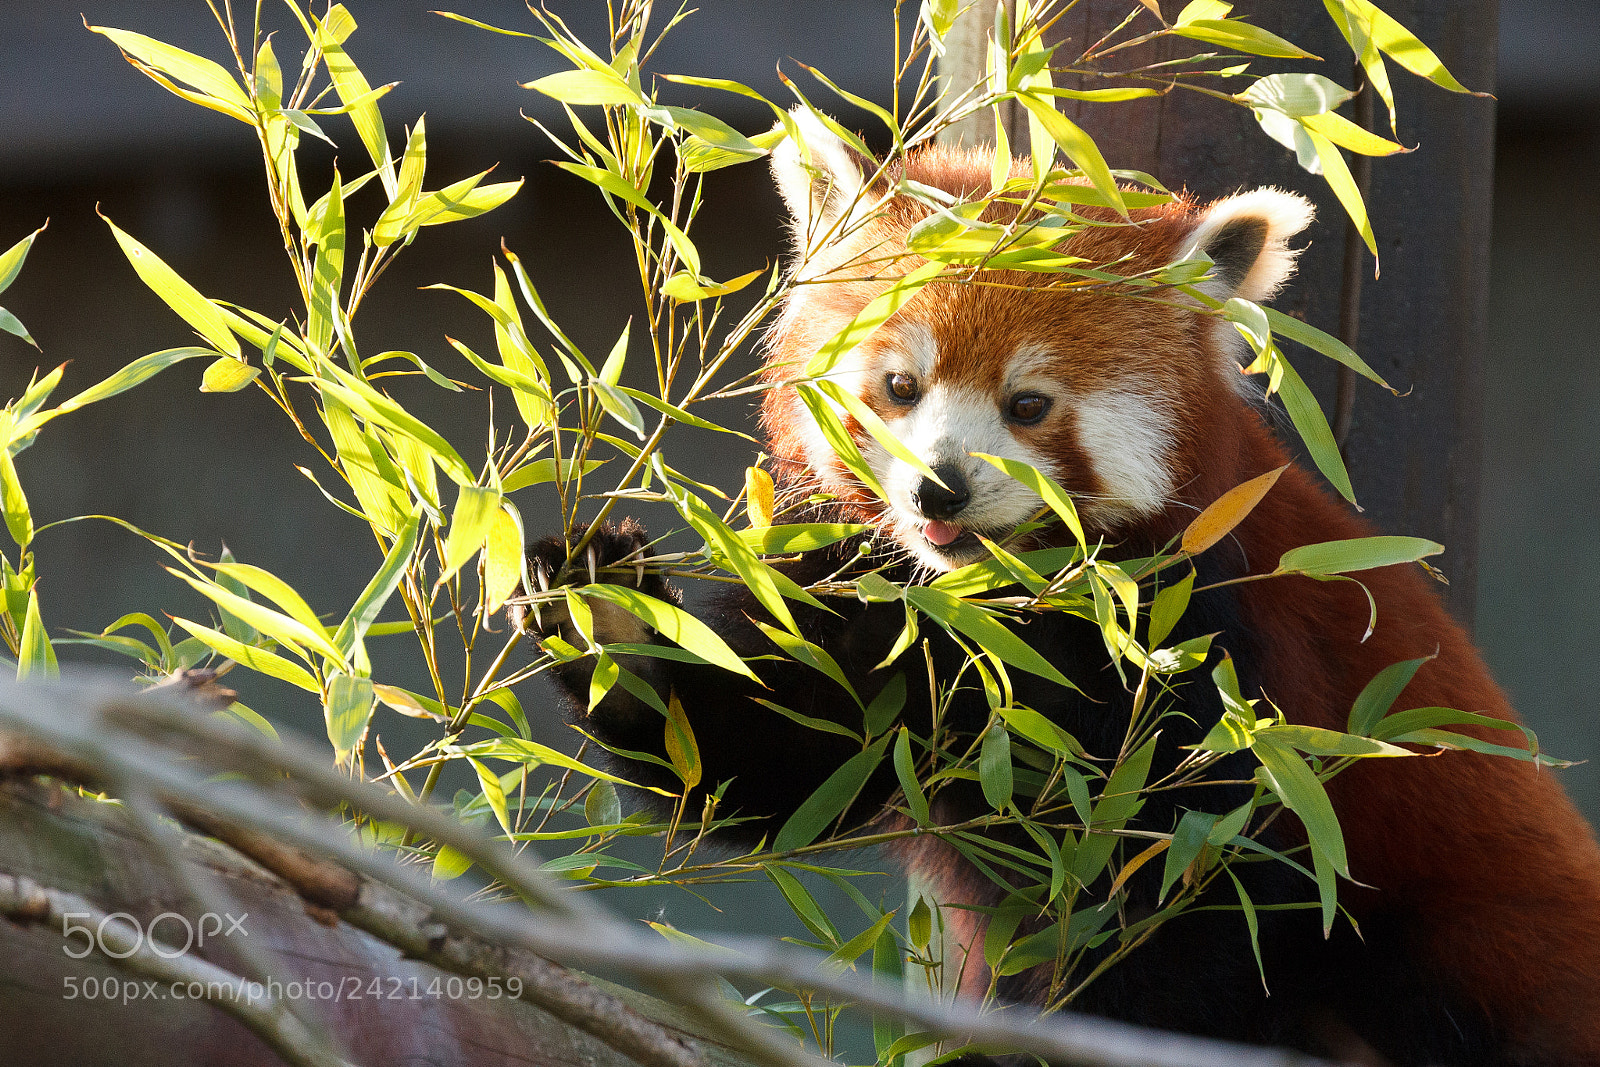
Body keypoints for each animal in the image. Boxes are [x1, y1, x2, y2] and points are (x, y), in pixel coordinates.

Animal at [516, 111, 1600, 1065]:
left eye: (1028, 405)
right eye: (900, 386)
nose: (939, 488)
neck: (995, 608)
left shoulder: (1209, 650)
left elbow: (1187, 895)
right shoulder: (872, 600)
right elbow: (759, 756)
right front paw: (606, 611)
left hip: (1486, 933)